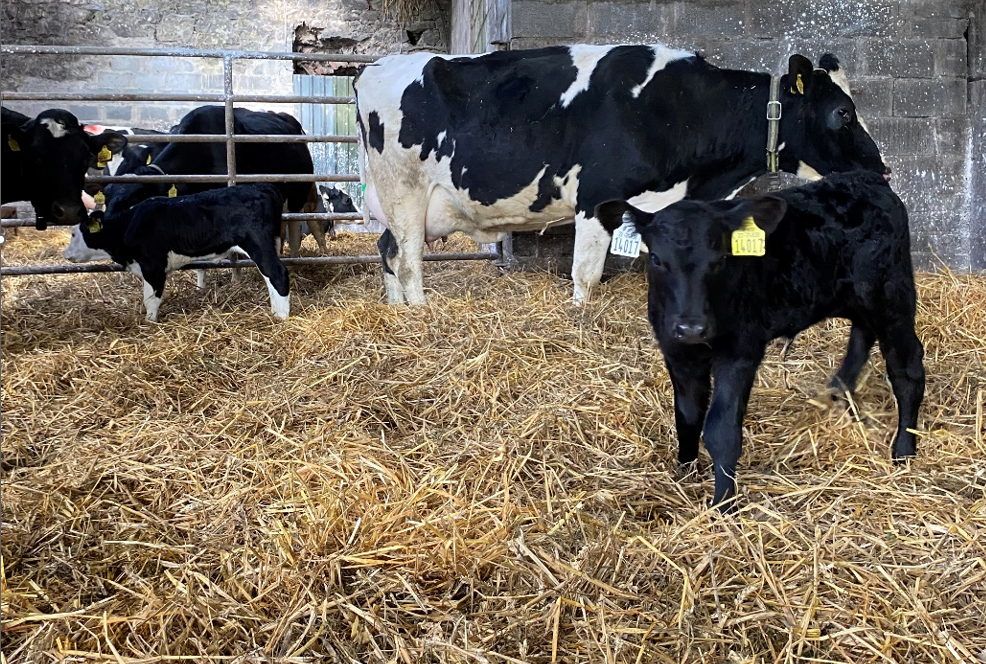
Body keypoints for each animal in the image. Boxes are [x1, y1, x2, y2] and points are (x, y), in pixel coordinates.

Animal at [63, 183, 290, 322]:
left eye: (74, 233)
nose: (65, 254)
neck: (128, 225)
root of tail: (262, 186)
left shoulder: (153, 266)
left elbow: (151, 298)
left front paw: (150, 322)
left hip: (258, 243)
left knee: (277, 273)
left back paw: (282, 317)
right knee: (269, 278)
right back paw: (274, 311)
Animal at [355, 47, 890, 305]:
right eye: (843, 112)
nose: (882, 169)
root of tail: (375, 67)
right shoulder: (597, 197)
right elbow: (586, 275)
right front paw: (579, 319)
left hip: (397, 204)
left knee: (388, 252)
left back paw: (397, 311)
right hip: (405, 192)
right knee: (408, 261)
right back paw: (420, 314)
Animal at [594, 170, 924, 510]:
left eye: (720, 259)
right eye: (657, 259)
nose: (691, 327)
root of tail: (865, 178)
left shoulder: (740, 350)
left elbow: (721, 429)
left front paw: (723, 503)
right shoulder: (675, 350)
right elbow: (687, 414)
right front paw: (685, 471)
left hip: (892, 297)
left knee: (907, 371)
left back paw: (903, 450)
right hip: (859, 298)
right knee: (861, 334)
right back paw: (837, 390)